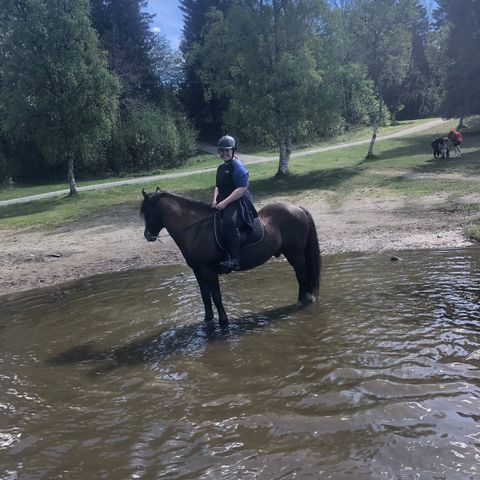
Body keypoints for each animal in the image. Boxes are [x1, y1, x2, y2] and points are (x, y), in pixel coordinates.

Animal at [142, 188, 322, 326]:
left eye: (148, 212)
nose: (148, 236)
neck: (196, 229)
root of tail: (297, 207)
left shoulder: (209, 270)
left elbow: (216, 296)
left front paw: (223, 321)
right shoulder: (197, 271)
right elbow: (205, 295)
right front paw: (207, 319)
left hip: (295, 253)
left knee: (302, 274)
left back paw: (304, 300)